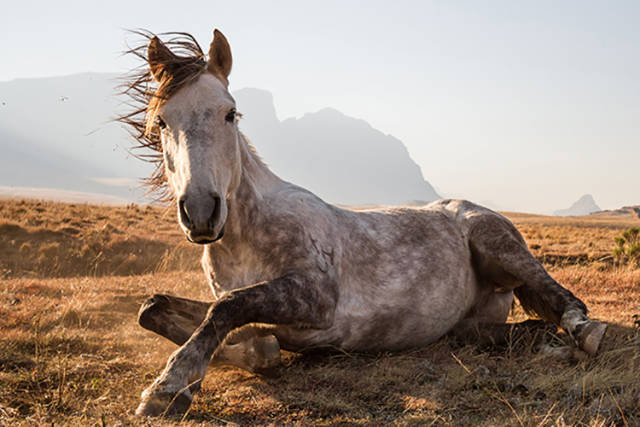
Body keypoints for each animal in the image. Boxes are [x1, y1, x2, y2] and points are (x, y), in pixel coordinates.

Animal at [119, 29, 604, 418]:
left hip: (499, 244)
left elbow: (226, 307)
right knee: (503, 331)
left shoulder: (316, 297)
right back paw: (541, 340)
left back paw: (583, 333)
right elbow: (157, 307)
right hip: (469, 323)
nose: (202, 211)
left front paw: (169, 386)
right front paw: (253, 352)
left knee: (564, 300)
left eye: (229, 113)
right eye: (161, 121)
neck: (246, 236)